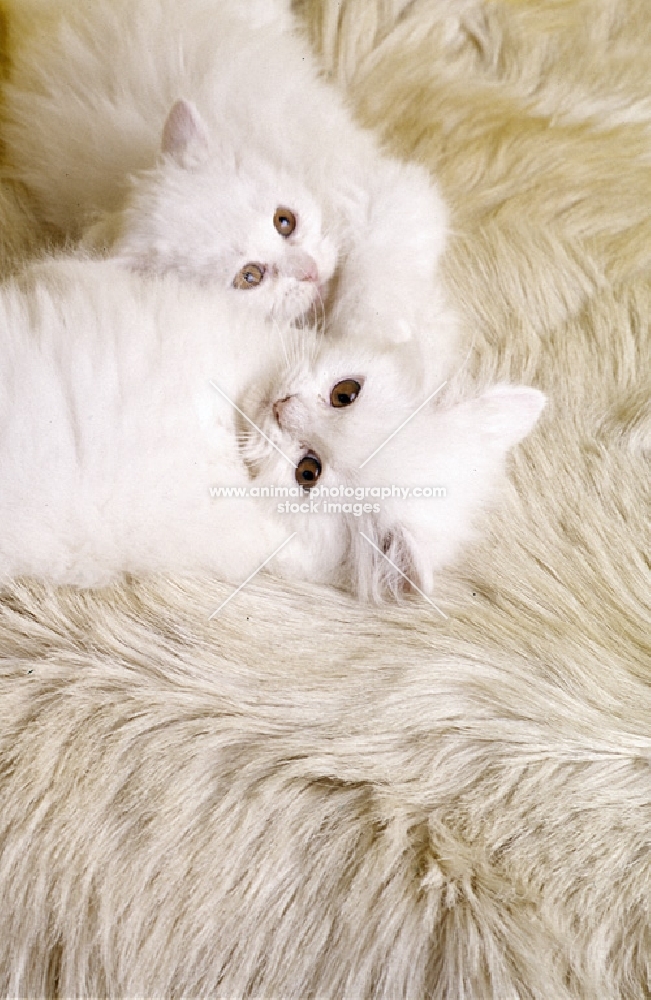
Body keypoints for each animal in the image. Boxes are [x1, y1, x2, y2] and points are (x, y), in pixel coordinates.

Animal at [0, 0, 456, 372]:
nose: (308, 271)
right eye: (249, 277)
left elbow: (380, 267)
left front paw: (376, 334)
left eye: (284, 221)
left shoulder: (380, 187)